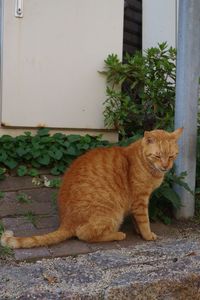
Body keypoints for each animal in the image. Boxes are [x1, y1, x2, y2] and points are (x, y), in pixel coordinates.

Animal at [1, 128, 183, 248]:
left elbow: (136, 220)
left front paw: (138, 232)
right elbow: (144, 221)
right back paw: (117, 234)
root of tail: (66, 222)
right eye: (158, 156)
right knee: (84, 235)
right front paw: (147, 235)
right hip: (113, 213)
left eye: (171, 156)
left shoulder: (136, 203)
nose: (166, 166)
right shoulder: (140, 200)